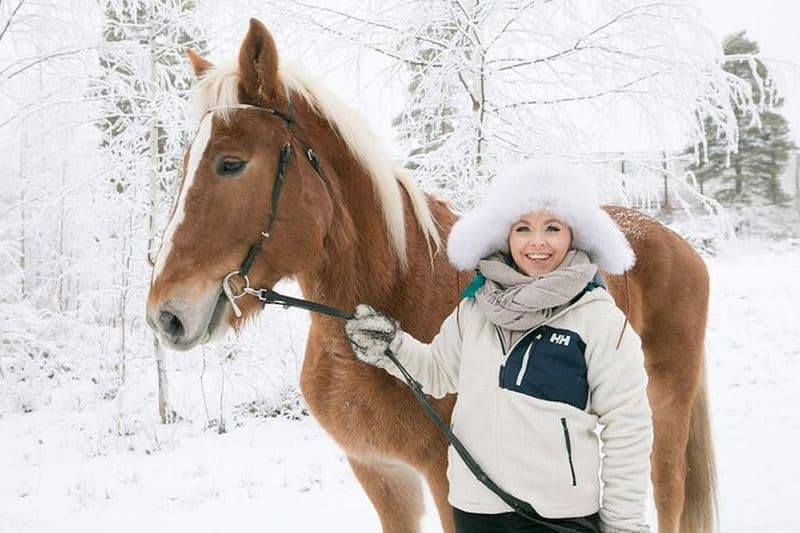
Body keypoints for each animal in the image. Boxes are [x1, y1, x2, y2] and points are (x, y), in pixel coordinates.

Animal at [146, 19, 715, 533]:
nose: (165, 316)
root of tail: (675, 241)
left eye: (231, 163)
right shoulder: (381, 474)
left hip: (663, 408)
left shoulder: (448, 482)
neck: (398, 289)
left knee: (667, 492)